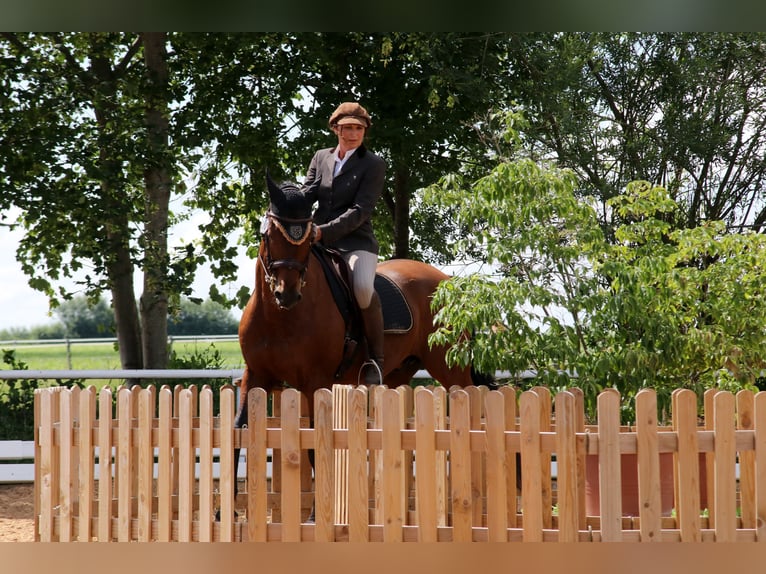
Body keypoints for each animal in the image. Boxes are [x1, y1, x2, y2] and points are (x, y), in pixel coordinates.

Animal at [236, 179, 492, 432]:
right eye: (269, 235)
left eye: (308, 240)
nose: (286, 294)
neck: (278, 318)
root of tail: (448, 281)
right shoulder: (255, 377)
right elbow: (240, 427)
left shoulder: (316, 382)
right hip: (400, 371)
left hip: (450, 367)